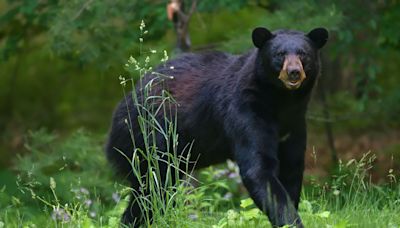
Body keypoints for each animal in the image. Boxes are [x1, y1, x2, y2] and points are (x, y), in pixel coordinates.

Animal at [106, 26, 328, 226]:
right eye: (279, 54)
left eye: (303, 54)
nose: (293, 72)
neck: (281, 101)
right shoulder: (246, 110)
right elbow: (258, 169)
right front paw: (291, 221)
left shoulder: (294, 123)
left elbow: (292, 168)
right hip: (147, 140)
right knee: (152, 190)